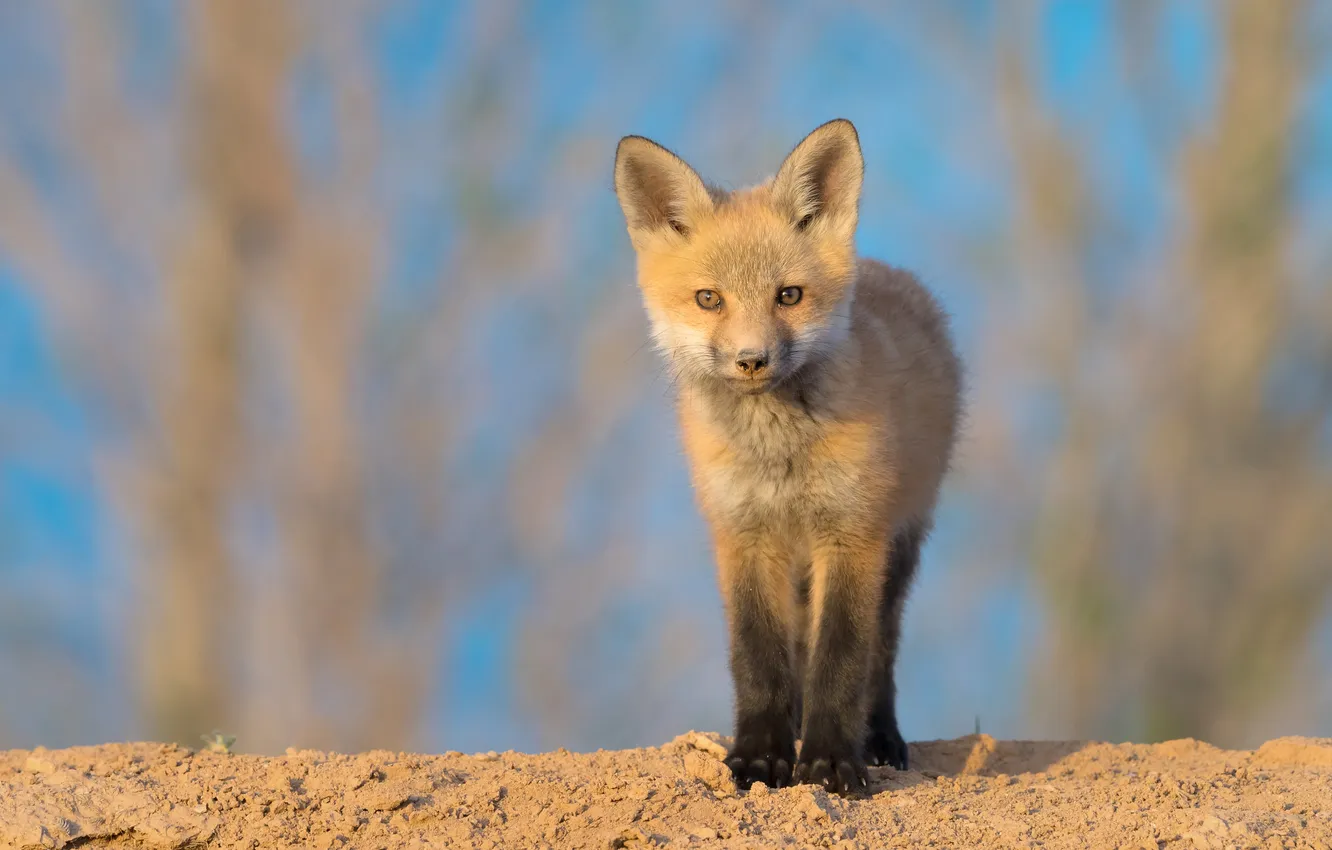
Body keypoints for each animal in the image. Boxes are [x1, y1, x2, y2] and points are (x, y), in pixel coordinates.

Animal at [612, 119, 961, 794]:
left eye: (789, 296)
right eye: (709, 299)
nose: (752, 360)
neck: (778, 457)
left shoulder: (853, 534)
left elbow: (841, 658)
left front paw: (829, 761)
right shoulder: (743, 534)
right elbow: (759, 658)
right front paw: (761, 756)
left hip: (901, 544)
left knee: (880, 651)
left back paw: (880, 737)